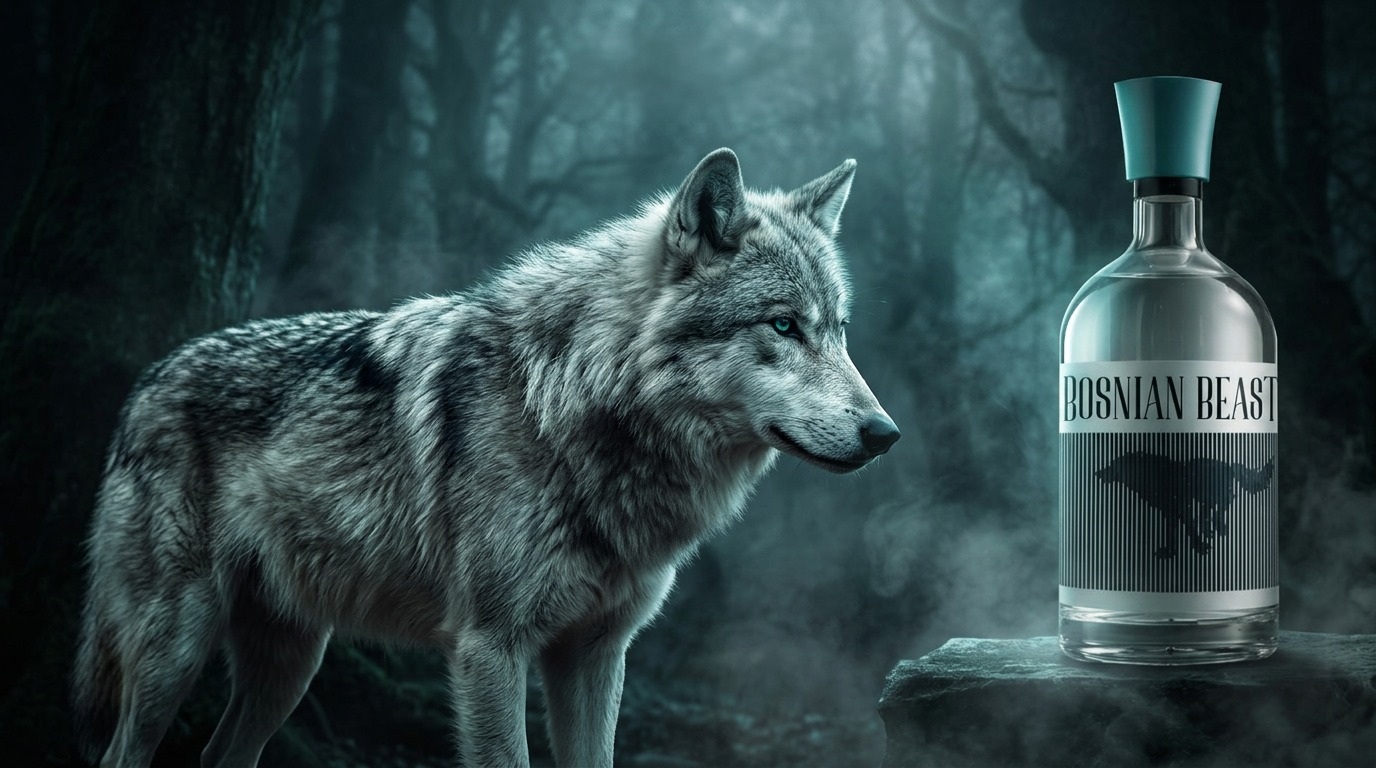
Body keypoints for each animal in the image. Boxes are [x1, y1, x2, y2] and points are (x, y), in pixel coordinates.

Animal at [72, 148, 900, 768]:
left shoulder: (596, 653)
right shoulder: (489, 648)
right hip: (177, 647)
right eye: (783, 325)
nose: (884, 434)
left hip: (292, 664)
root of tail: (148, 379)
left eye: (840, 330)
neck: (572, 400)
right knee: (122, 752)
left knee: (219, 755)